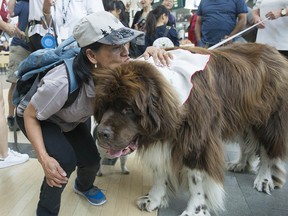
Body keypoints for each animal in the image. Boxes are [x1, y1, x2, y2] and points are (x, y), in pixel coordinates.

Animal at [93, 43, 286, 215]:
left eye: (128, 109)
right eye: (105, 106)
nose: (100, 133)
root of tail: (275, 52)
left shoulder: (197, 142)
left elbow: (196, 179)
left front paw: (195, 210)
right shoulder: (163, 138)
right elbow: (159, 170)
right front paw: (153, 199)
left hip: (268, 122)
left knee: (268, 152)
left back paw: (264, 179)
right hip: (242, 118)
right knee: (246, 144)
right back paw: (240, 164)